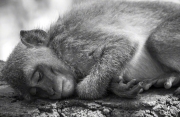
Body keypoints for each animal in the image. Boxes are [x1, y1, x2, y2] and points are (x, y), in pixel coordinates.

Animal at [1, 0, 180, 100]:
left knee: (156, 40)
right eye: (35, 92)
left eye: (38, 76)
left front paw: (88, 90)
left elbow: (123, 44)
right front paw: (115, 87)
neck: (55, 47)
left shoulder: (71, 43)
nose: (51, 92)